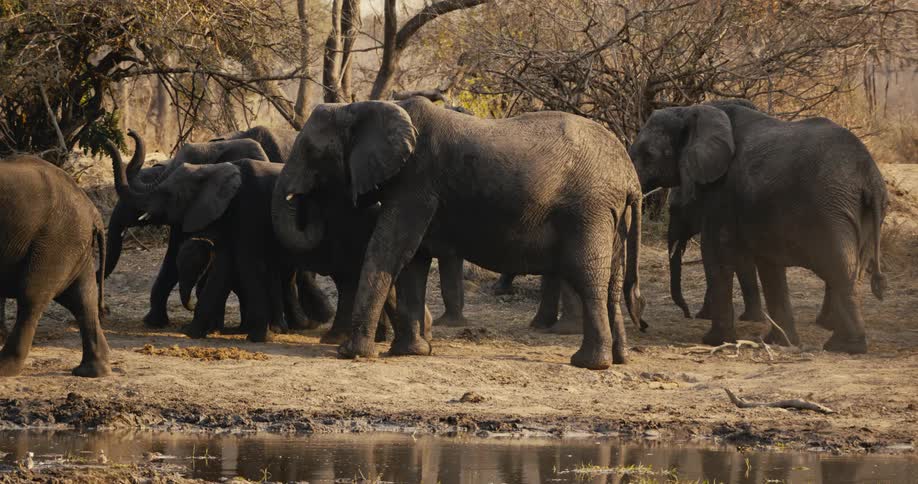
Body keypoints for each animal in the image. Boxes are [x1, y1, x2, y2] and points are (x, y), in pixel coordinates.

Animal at [0, 155, 110, 377]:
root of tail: (92, 210)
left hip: (55, 241)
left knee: (31, 296)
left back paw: (4, 369)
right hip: (72, 244)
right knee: (81, 299)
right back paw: (93, 371)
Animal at [274, 96, 645, 369]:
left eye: (311, 151)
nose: (306, 199)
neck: (363, 106)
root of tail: (630, 176)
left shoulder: (416, 180)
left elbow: (391, 249)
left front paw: (351, 354)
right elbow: (414, 260)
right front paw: (411, 352)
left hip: (588, 209)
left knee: (587, 276)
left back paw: (588, 363)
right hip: (612, 214)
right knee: (612, 282)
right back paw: (619, 359)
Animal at [629, 100, 887, 353]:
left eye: (648, 154)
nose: (687, 314)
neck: (692, 109)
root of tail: (869, 175)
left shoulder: (723, 191)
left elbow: (716, 252)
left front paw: (714, 341)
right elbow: (768, 265)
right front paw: (780, 342)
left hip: (831, 207)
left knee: (840, 268)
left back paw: (844, 346)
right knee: (852, 269)